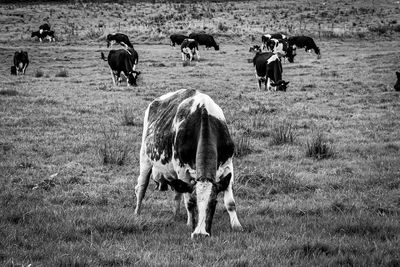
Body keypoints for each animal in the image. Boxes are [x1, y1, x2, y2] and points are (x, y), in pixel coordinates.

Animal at [134, 89, 242, 238]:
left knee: (176, 194)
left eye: (214, 203)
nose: (201, 234)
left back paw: (176, 215)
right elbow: (188, 201)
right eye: (196, 202)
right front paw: (190, 224)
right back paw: (137, 212)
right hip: (145, 158)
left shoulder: (227, 166)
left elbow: (230, 203)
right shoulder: (182, 170)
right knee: (141, 187)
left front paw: (236, 225)